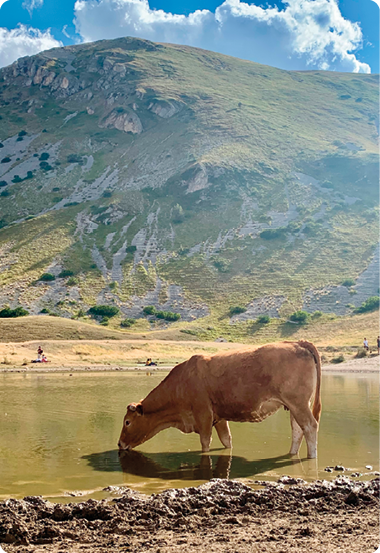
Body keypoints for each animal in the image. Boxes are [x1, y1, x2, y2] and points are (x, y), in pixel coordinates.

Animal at [118, 340, 320, 458]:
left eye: (127, 422)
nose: (119, 444)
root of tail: (298, 343)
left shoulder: (204, 415)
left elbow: (205, 442)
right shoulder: (219, 418)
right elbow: (226, 440)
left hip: (298, 403)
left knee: (310, 426)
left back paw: (312, 457)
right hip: (295, 405)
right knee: (297, 429)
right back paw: (291, 454)